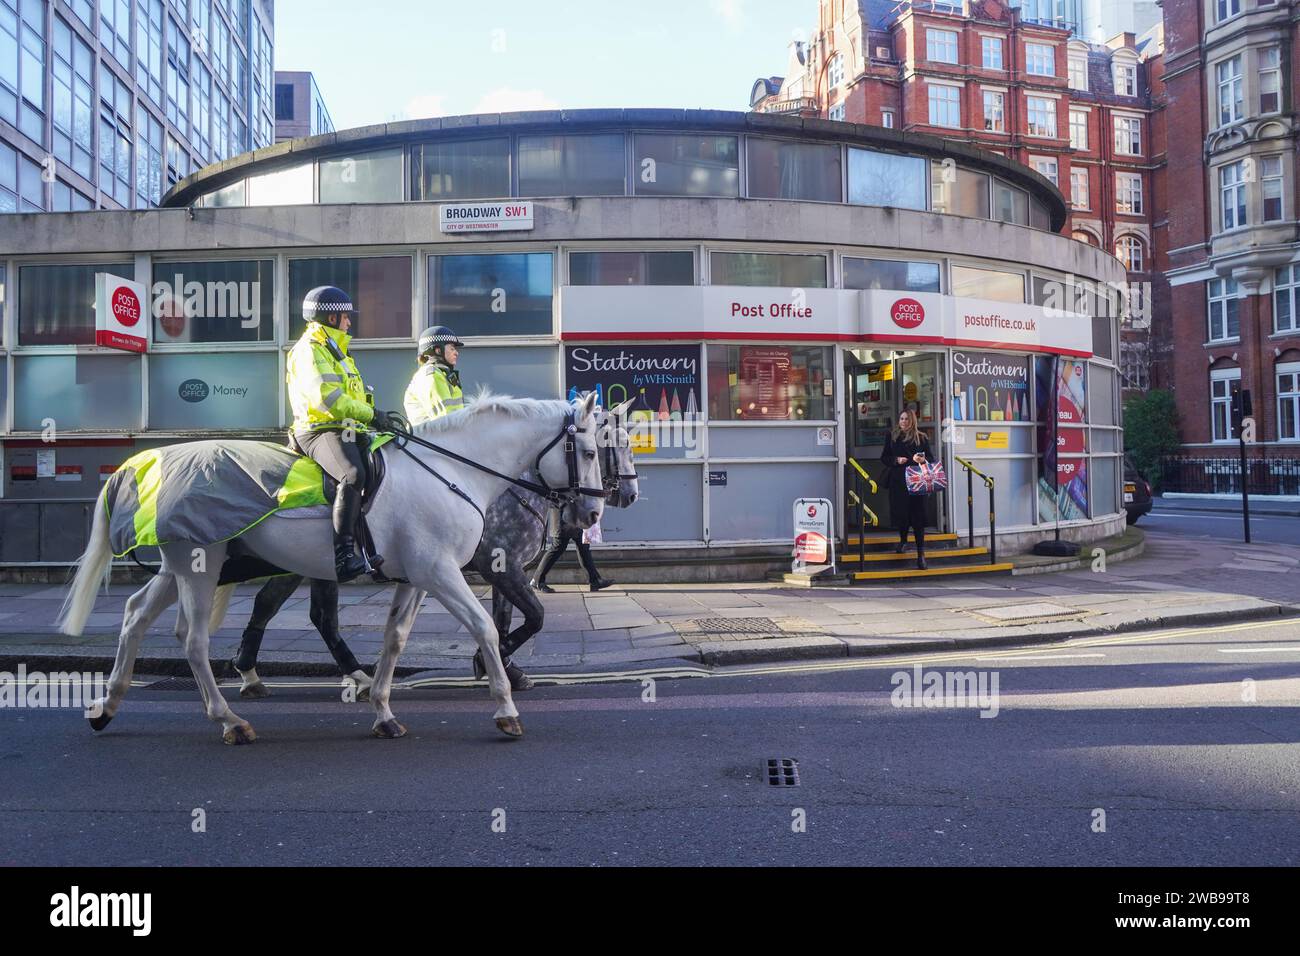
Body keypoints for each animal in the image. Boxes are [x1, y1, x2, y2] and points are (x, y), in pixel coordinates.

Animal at [57, 392, 608, 743]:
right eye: (587, 451)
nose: (592, 514)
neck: (453, 470)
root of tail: (146, 462)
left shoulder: (418, 578)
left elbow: (395, 639)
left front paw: (383, 711)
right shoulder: (441, 573)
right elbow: (485, 629)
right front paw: (506, 709)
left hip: (179, 566)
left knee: (135, 615)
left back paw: (107, 706)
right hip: (199, 563)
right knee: (191, 641)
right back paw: (231, 720)